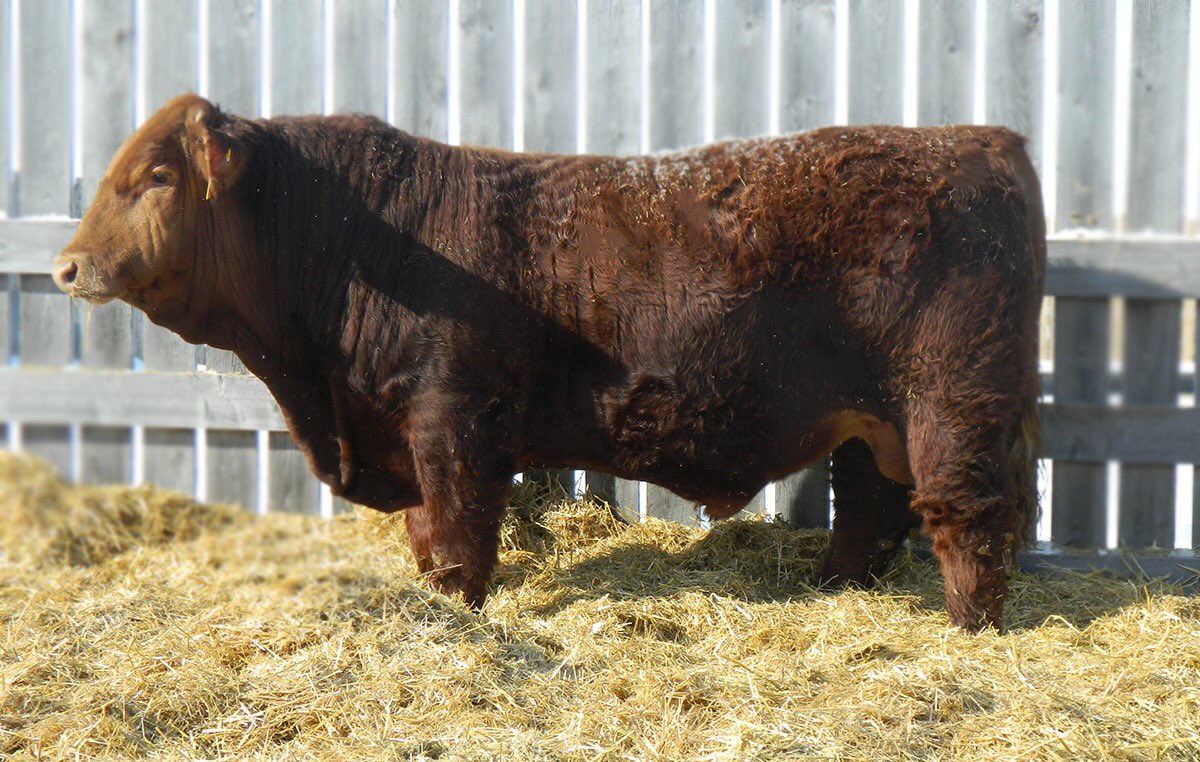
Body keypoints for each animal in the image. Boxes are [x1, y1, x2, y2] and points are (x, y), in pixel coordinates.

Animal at [54, 94, 1045, 631]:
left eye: (155, 176)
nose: (66, 265)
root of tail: (980, 139)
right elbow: (425, 534)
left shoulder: (451, 422)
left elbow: (458, 534)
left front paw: (459, 611)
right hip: (873, 418)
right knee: (870, 507)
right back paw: (835, 588)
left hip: (953, 404)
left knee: (969, 518)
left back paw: (969, 627)